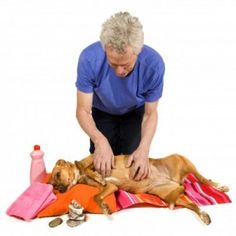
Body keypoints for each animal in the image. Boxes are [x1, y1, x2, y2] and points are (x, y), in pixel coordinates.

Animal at [48, 153, 230, 225]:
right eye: (54, 186)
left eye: (57, 174)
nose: (61, 190)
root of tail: (176, 180)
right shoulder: (111, 186)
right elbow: (97, 196)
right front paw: (106, 207)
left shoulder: (100, 161)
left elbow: (87, 166)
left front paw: (94, 172)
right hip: (168, 194)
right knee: (189, 201)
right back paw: (203, 214)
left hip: (183, 160)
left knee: (203, 179)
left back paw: (219, 186)